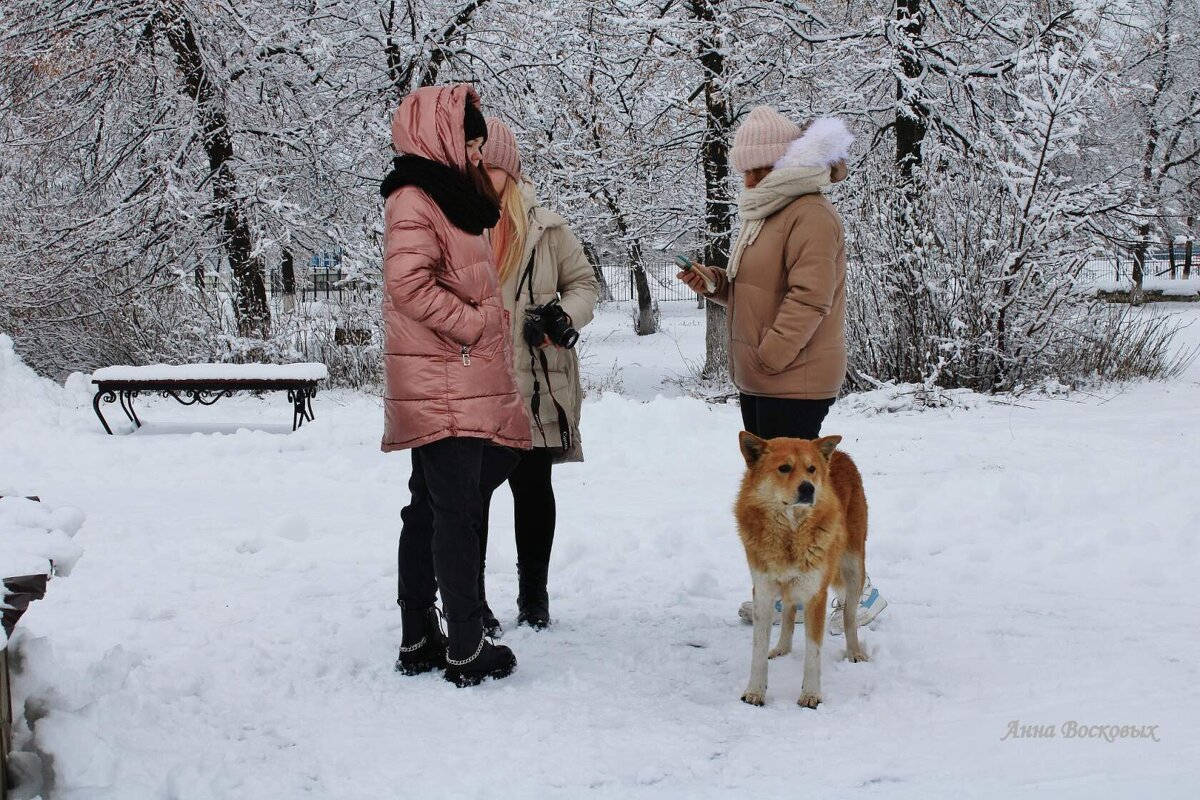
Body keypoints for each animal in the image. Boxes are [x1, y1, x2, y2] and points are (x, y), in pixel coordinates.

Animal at [734, 431, 868, 705]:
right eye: (784, 468)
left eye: (811, 469)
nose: (808, 487)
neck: (790, 532)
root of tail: (840, 454)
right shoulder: (763, 591)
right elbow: (758, 648)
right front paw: (755, 691)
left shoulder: (816, 593)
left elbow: (813, 652)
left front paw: (810, 694)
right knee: (788, 610)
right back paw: (782, 648)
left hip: (853, 567)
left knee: (849, 615)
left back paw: (854, 652)